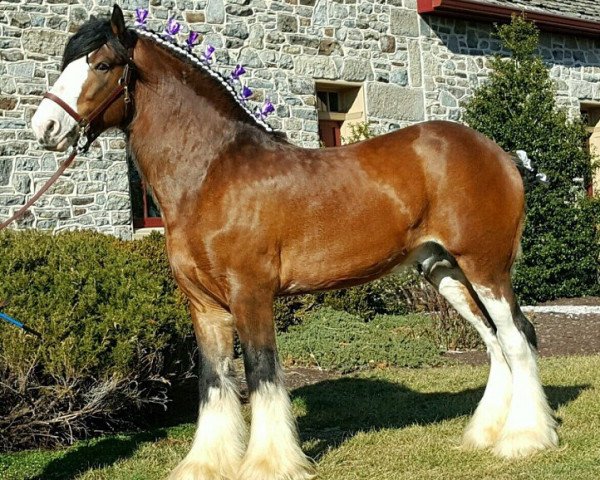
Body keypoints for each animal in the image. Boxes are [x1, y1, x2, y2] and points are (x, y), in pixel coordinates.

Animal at [29, 4, 556, 480]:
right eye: (66, 61)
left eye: (101, 64)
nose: (45, 128)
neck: (212, 173)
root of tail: (502, 155)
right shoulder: (203, 304)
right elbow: (214, 379)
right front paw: (205, 464)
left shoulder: (251, 294)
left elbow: (262, 374)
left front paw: (268, 464)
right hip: (443, 270)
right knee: (494, 341)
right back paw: (485, 434)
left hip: (485, 267)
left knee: (517, 337)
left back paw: (524, 439)